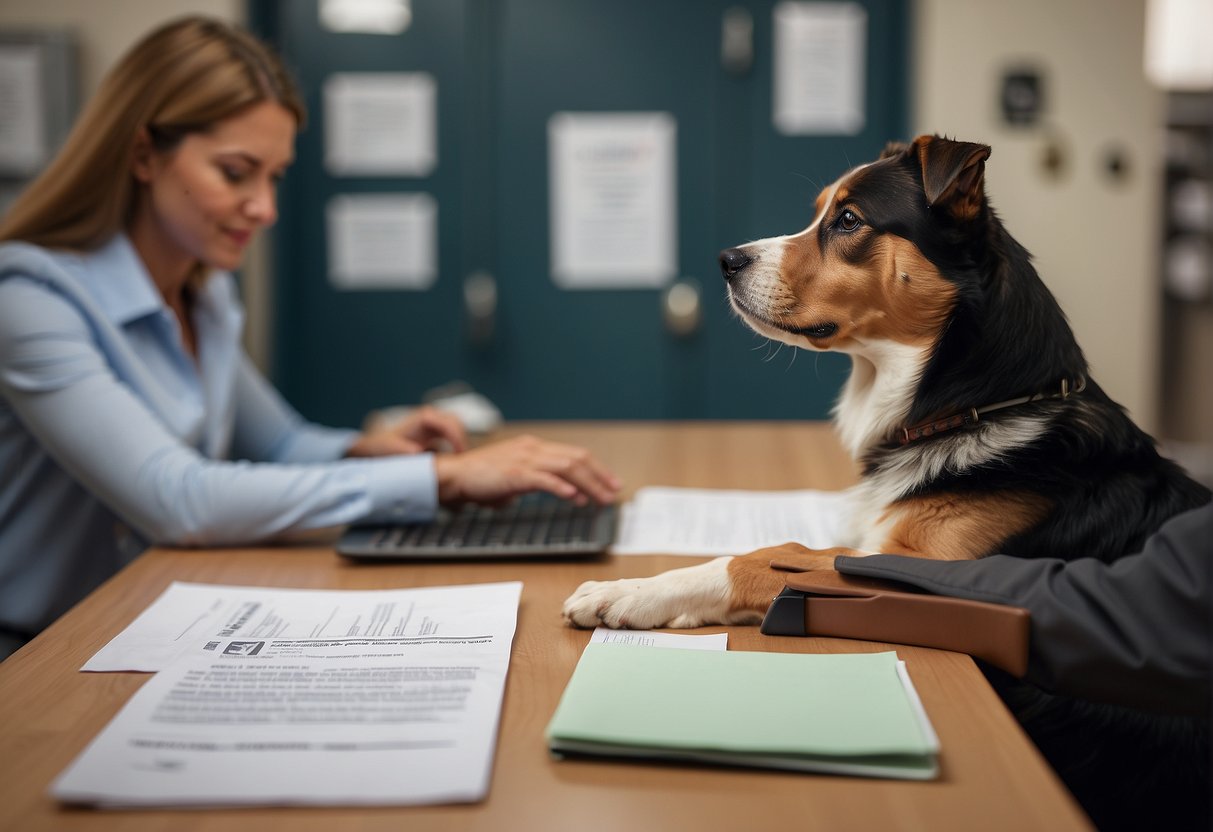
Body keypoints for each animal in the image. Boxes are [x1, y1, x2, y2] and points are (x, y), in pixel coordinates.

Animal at [567, 133, 1213, 829]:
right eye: (819, 213)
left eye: (849, 221)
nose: (726, 261)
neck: (974, 406)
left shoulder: (921, 566)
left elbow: (766, 553)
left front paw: (630, 591)